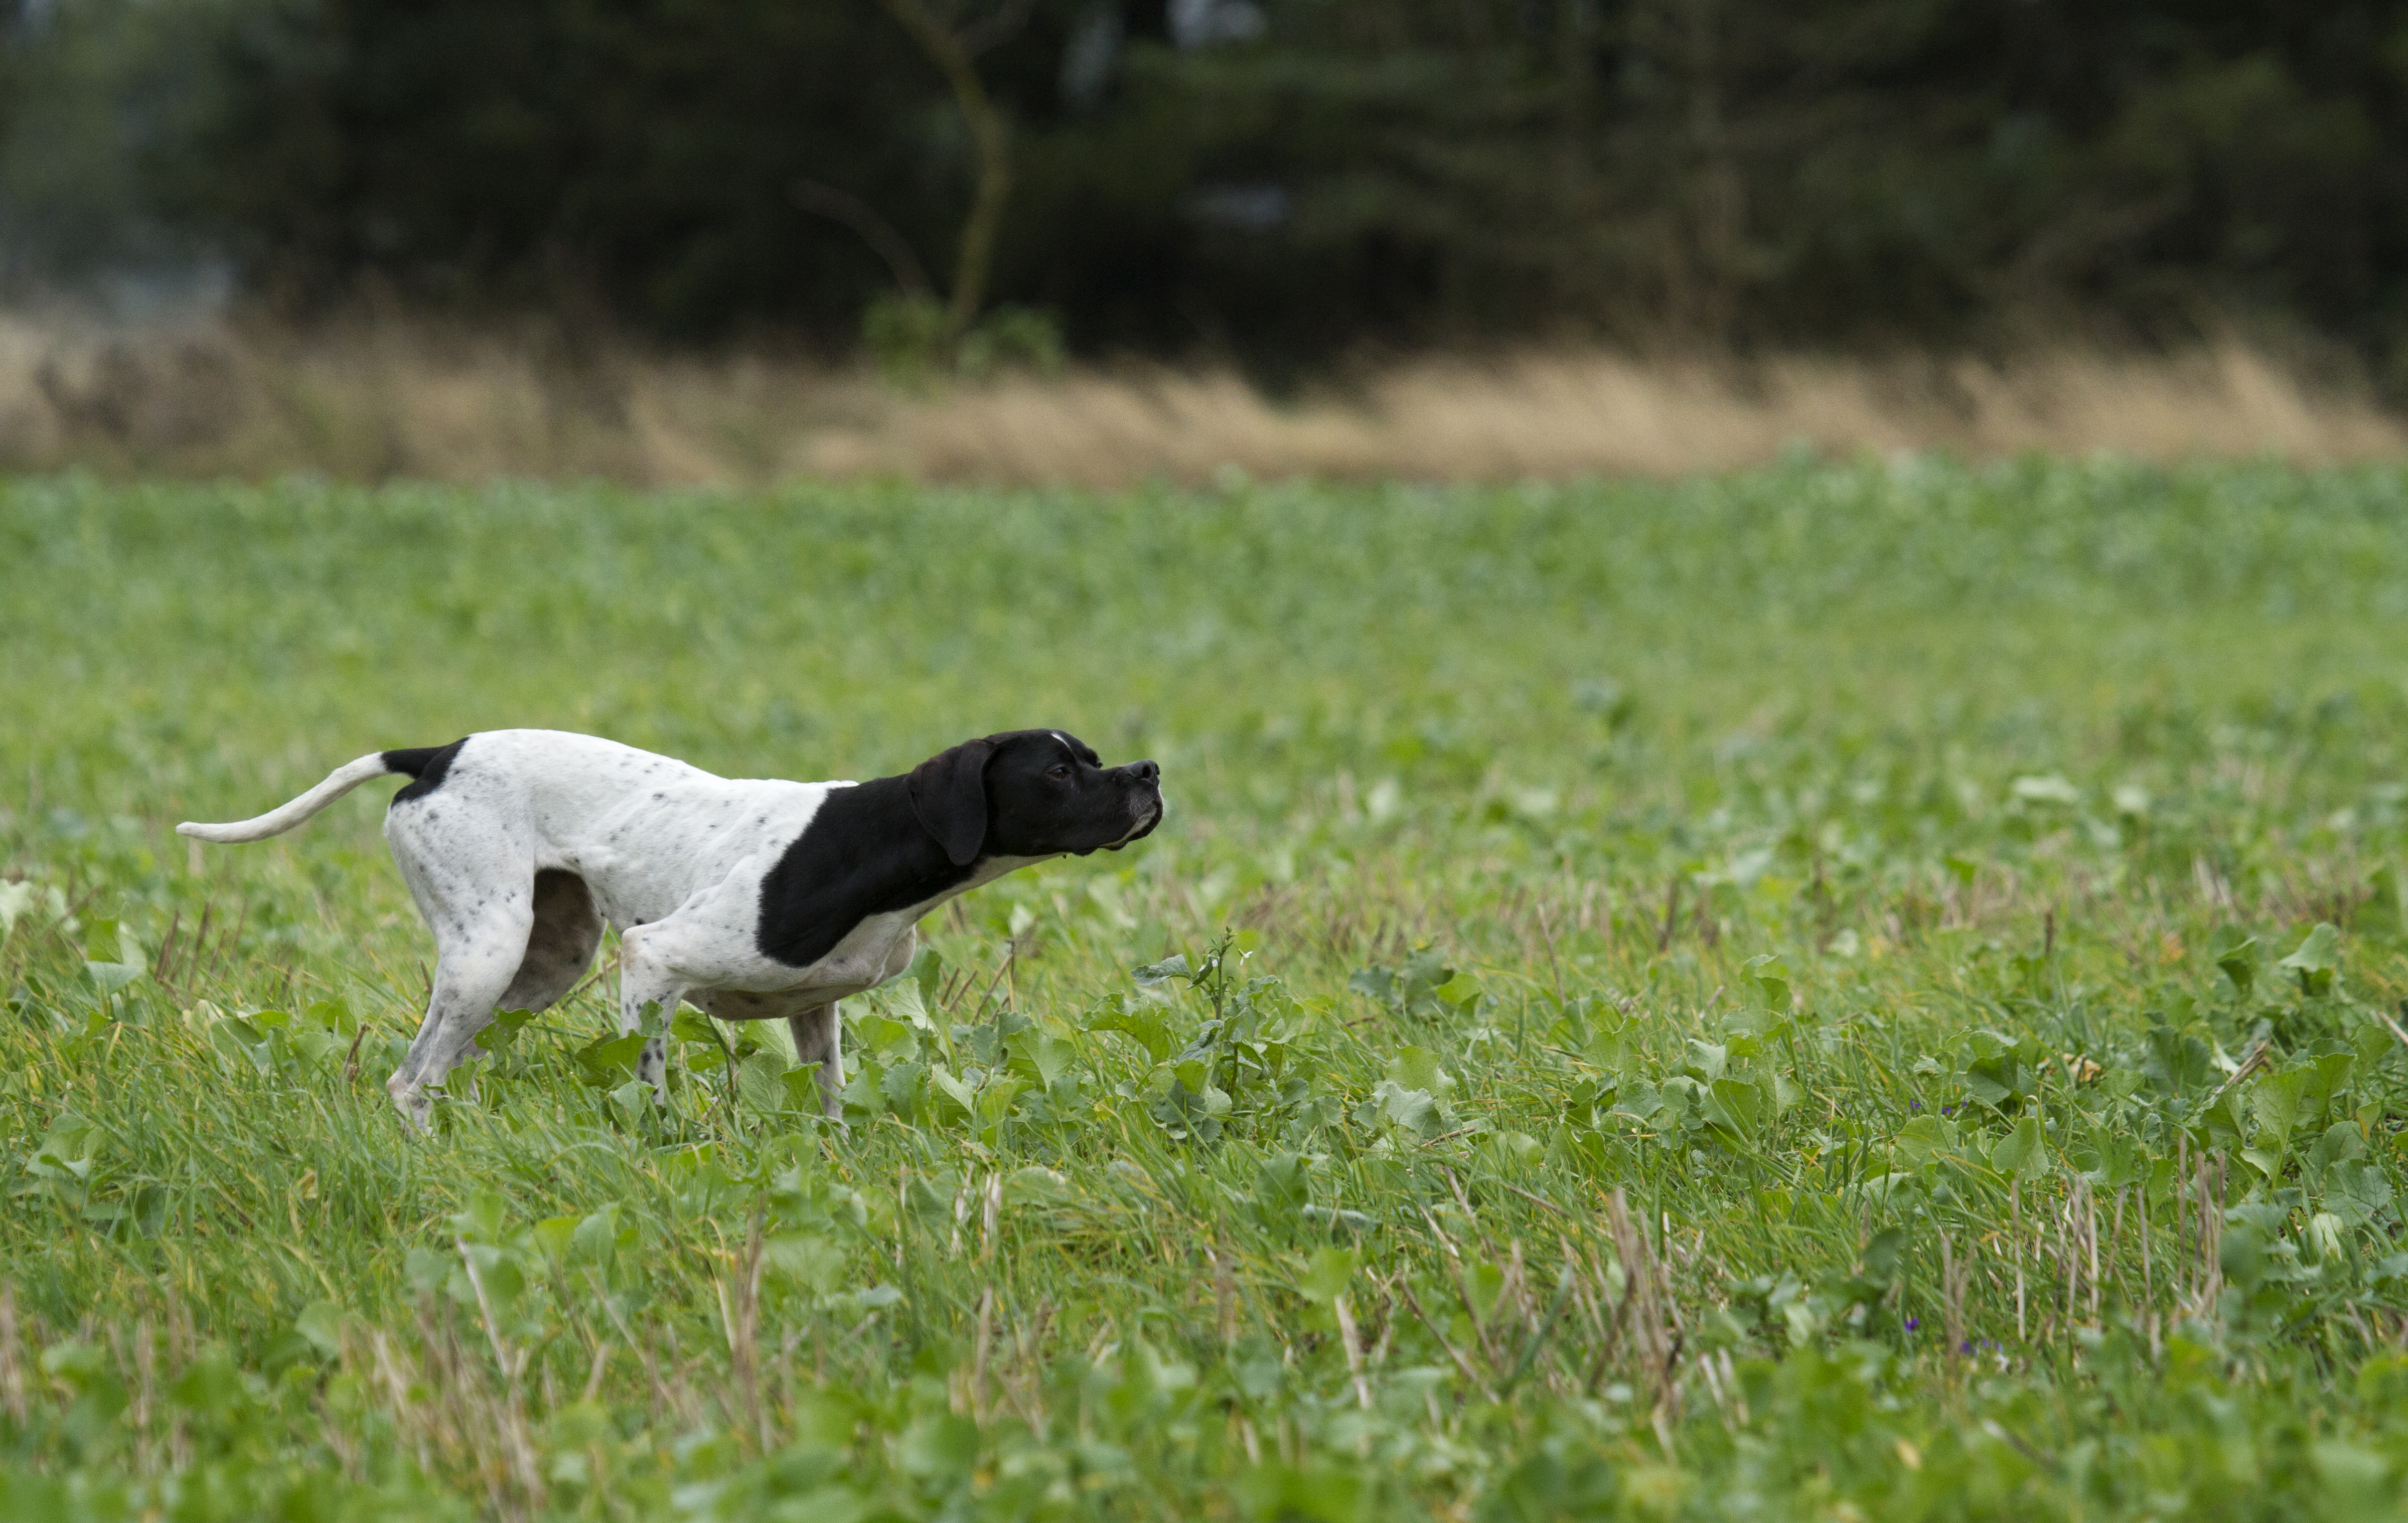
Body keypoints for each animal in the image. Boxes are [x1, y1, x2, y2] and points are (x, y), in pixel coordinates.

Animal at [181, 732, 1165, 1123]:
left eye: (1091, 756)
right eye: (1059, 771)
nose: (1150, 772)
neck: (874, 844)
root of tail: (438, 753)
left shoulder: (818, 1009)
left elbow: (833, 1099)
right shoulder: (651, 960)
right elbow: (647, 1085)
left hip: (540, 966)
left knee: (436, 1070)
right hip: (486, 954)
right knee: (408, 1079)